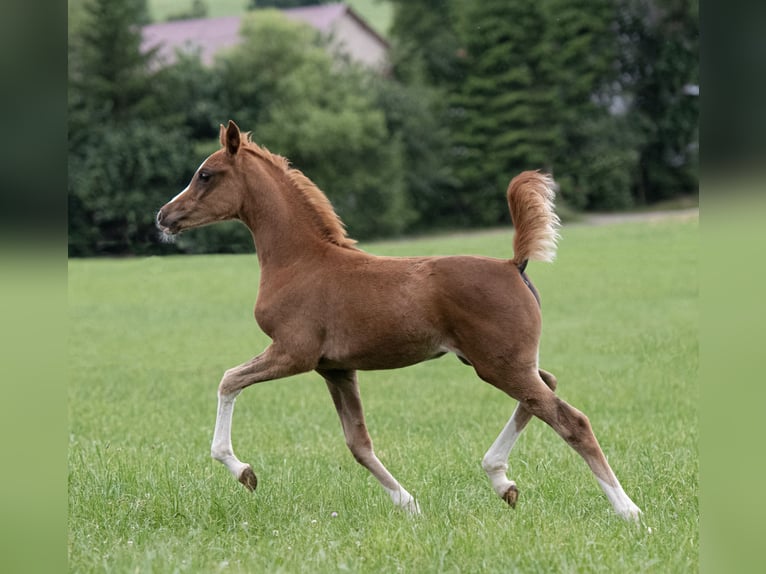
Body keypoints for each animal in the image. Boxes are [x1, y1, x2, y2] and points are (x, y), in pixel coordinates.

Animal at [156, 120, 642, 521]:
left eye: (206, 174)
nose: (163, 216)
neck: (301, 261)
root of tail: (513, 264)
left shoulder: (293, 352)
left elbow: (228, 380)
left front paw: (244, 471)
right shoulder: (335, 368)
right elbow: (358, 444)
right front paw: (409, 504)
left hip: (499, 364)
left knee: (570, 419)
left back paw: (627, 510)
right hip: (498, 361)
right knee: (547, 388)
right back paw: (501, 479)